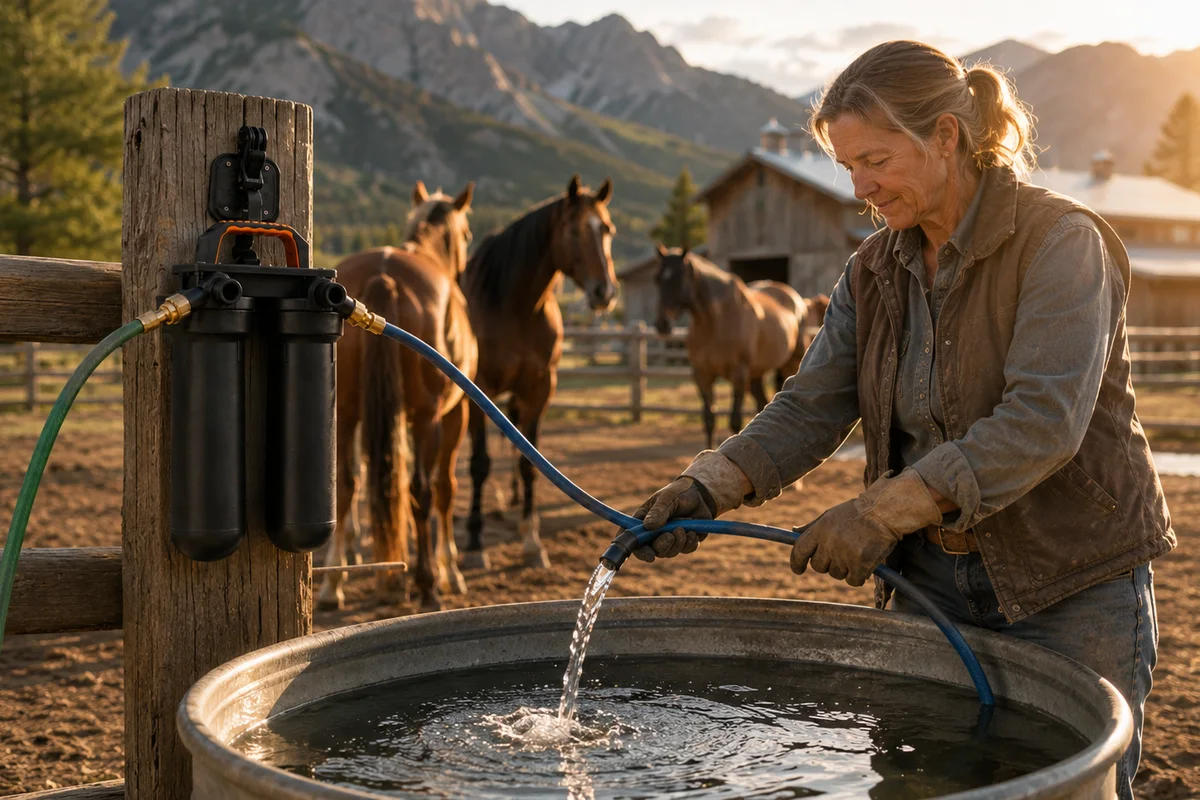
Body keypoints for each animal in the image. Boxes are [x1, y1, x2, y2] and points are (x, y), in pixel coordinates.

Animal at [316, 180, 477, 612]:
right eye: (468, 235)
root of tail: (383, 276)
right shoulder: (456, 414)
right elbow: (444, 490)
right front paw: (450, 571)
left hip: (346, 413)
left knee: (346, 486)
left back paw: (332, 585)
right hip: (426, 417)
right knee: (423, 490)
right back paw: (427, 584)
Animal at [461, 174, 618, 570]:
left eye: (608, 229)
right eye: (574, 230)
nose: (604, 291)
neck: (515, 307)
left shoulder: (539, 389)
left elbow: (528, 463)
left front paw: (531, 540)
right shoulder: (479, 389)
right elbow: (480, 464)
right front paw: (474, 543)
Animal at [653, 244, 814, 450]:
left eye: (680, 277)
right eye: (657, 279)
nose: (662, 324)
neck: (715, 321)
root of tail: (796, 299)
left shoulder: (738, 374)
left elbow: (735, 421)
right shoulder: (702, 375)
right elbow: (709, 420)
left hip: (789, 365)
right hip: (756, 374)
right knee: (761, 403)